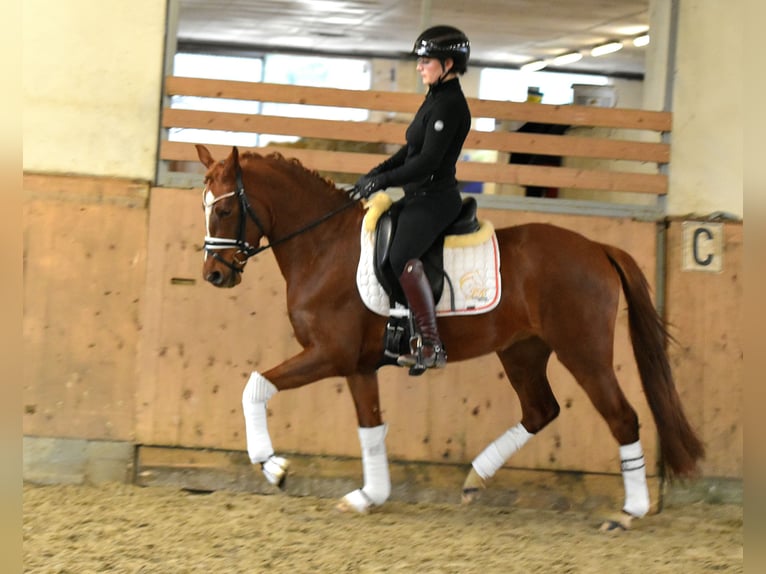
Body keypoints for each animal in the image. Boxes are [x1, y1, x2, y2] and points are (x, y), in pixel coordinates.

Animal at [195, 145, 704, 532]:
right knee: (540, 410)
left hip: (584, 353)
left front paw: (273, 467)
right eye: (205, 206)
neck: (323, 246)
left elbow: (255, 386)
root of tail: (597, 248)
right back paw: (475, 477)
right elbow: (370, 428)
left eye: (224, 209)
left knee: (622, 418)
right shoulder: (358, 365)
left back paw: (629, 511)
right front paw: (369, 495)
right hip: (522, 351)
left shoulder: (329, 354)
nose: (215, 275)